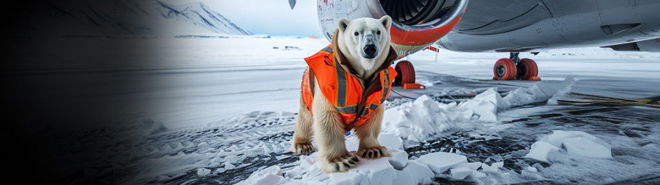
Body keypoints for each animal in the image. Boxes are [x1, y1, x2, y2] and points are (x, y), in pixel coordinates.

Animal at [290, 15, 398, 173]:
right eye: (356, 33)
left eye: (378, 31)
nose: (369, 48)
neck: (359, 74)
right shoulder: (331, 86)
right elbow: (327, 117)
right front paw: (341, 160)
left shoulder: (378, 89)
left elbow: (373, 117)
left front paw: (373, 150)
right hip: (307, 91)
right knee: (305, 118)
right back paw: (302, 145)